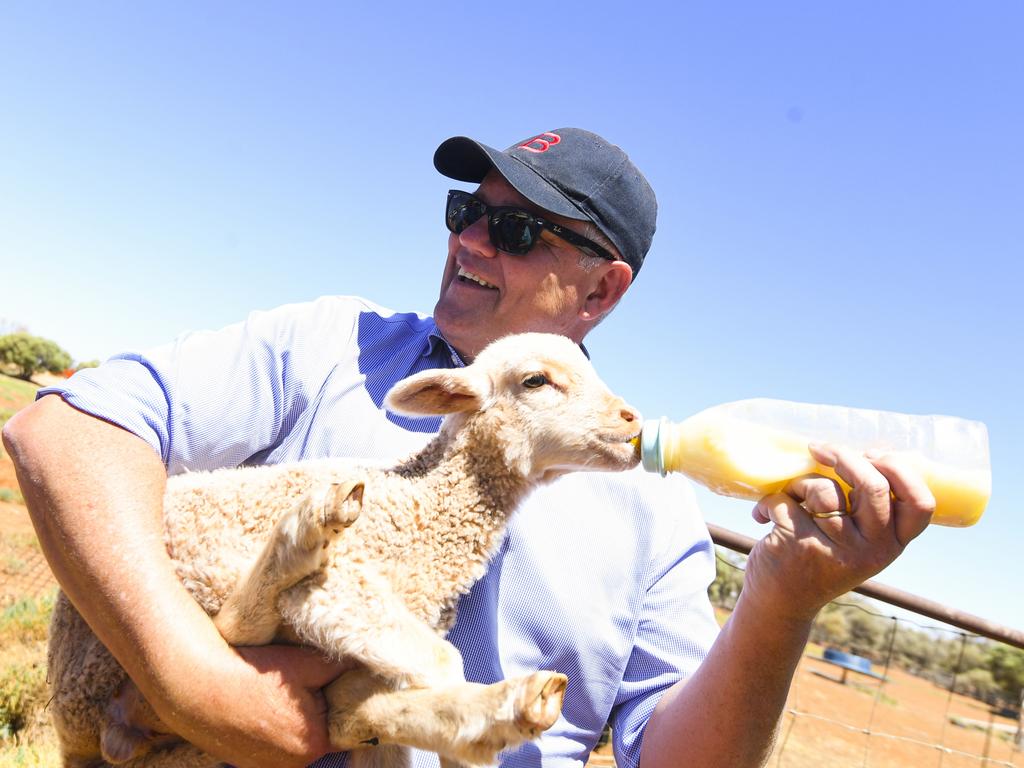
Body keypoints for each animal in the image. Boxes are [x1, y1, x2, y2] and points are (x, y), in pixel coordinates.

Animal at [48, 335, 643, 768]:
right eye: (536, 380)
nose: (632, 420)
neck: (420, 512)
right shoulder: (341, 587)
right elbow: (442, 660)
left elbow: (375, 712)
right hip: (126, 642)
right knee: (235, 623)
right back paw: (304, 534)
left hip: (178, 746)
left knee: (344, 712)